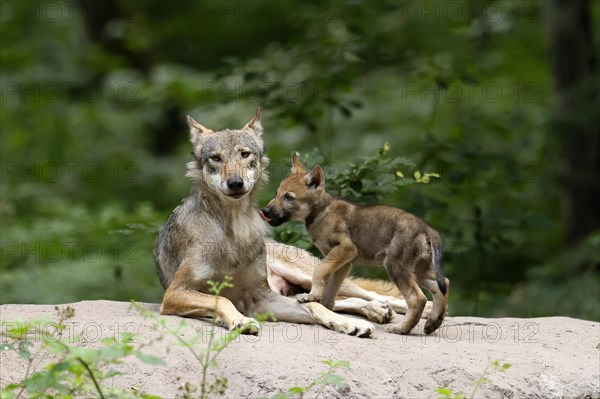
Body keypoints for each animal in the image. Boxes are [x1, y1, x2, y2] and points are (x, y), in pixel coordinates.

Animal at [260, 155, 448, 336]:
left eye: (288, 197)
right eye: (276, 193)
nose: (265, 211)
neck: (322, 212)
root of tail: (428, 230)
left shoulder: (345, 250)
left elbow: (320, 275)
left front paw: (315, 299)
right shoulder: (343, 263)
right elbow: (328, 298)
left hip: (393, 268)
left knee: (405, 297)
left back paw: (403, 325)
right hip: (417, 271)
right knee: (441, 284)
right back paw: (427, 320)